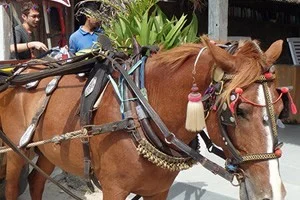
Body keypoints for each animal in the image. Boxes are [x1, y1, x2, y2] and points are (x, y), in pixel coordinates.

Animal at [0, 36, 286, 199]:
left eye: (282, 108)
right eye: (237, 111)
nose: (272, 191)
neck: (140, 115)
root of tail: (21, 68)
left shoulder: (158, 191)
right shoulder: (113, 190)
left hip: (49, 151)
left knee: (36, 181)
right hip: (16, 151)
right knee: (14, 187)